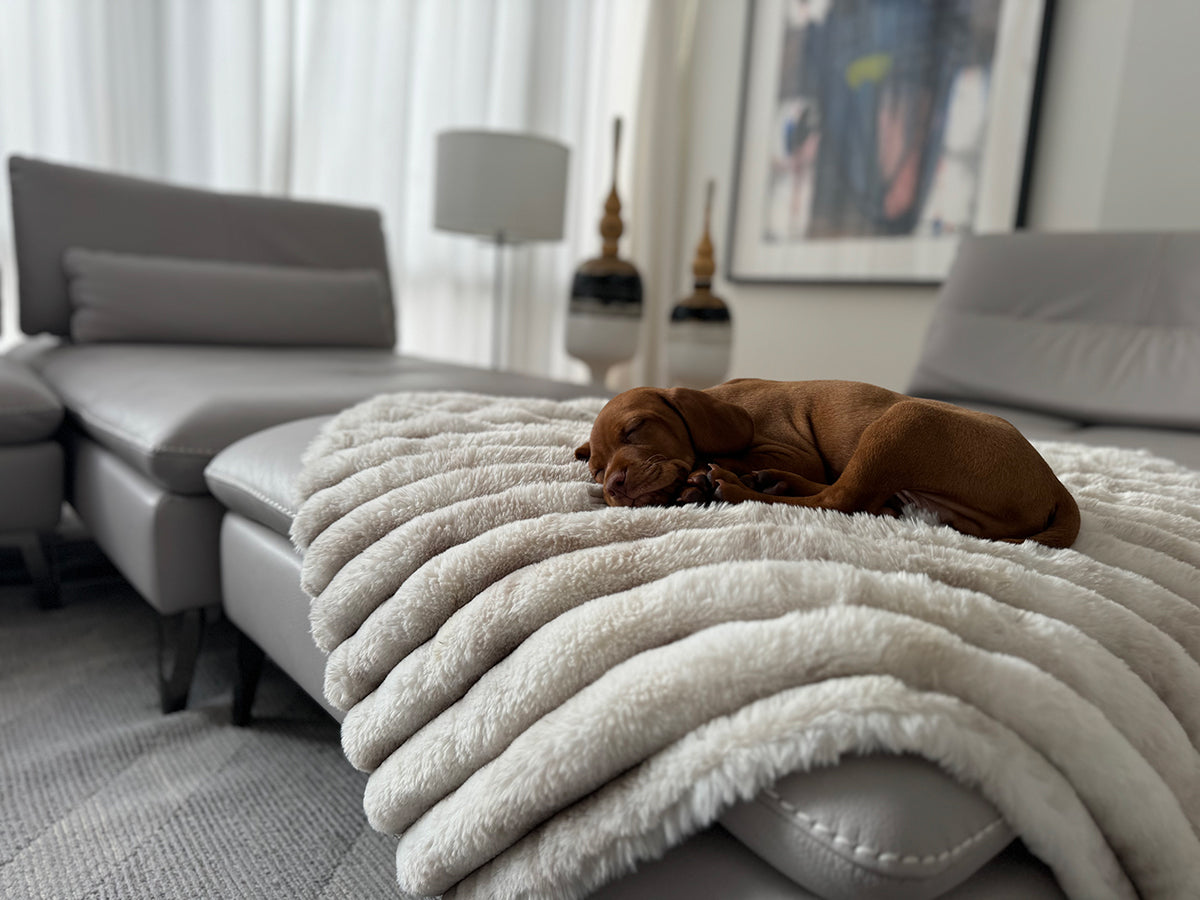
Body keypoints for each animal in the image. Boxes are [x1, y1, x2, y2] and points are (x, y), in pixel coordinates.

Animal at [576, 374, 1084, 547]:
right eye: (596, 470)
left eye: (636, 428)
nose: (615, 485)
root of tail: (1057, 486)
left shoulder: (795, 451)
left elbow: (725, 454)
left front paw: (703, 475)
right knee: (863, 500)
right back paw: (770, 482)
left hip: (903, 420)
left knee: (839, 498)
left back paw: (739, 487)